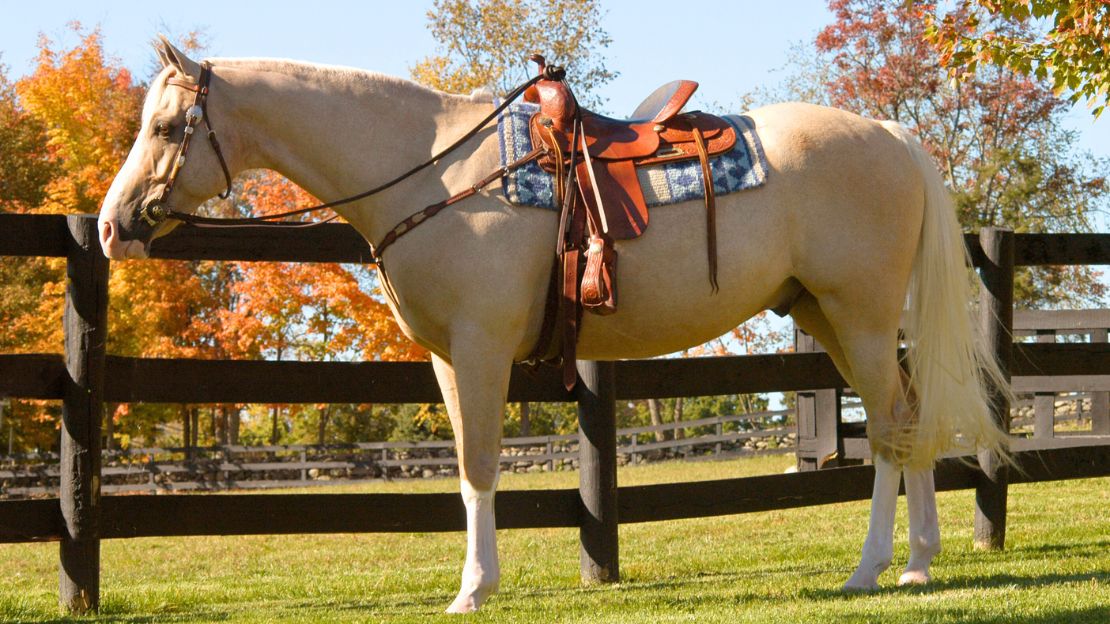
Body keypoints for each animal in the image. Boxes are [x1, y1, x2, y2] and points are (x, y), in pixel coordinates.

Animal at [97, 38, 1010, 613]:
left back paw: (873, 568)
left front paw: (473, 589)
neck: (433, 170)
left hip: (859, 317)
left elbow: (479, 466)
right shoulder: (446, 359)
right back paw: (917, 563)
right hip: (829, 317)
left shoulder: (480, 348)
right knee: (907, 421)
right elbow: (468, 471)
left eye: (168, 127)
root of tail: (889, 133)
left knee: (890, 430)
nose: (112, 226)